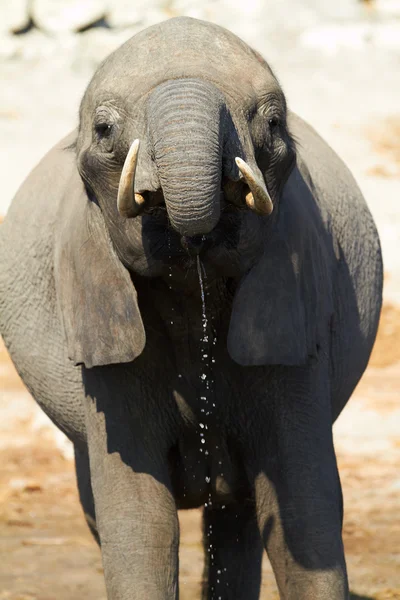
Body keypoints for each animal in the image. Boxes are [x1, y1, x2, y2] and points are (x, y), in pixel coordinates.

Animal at [0, 14, 382, 600]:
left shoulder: (293, 310)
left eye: (273, 125)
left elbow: (304, 506)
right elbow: (140, 521)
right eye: (104, 131)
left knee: (240, 516)